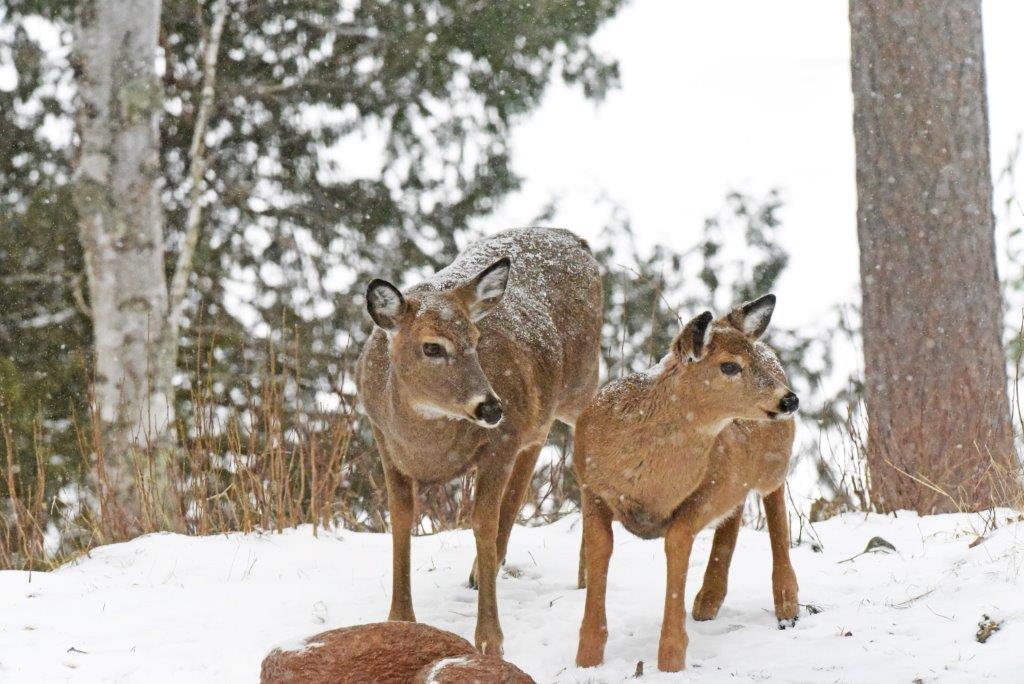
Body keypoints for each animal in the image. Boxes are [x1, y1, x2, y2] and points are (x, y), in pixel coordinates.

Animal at [355, 227, 603, 656]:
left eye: (474, 337)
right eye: (431, 346)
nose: (490, 407)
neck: (428, 447)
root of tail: (573, 238)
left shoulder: (499, 443)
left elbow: (481, 523)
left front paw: (490, 639)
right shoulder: (384, 440)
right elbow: (401, 518)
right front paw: (400, 618)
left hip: (581, 383)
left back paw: (583, 573)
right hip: (538, 410)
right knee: (534, 449)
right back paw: (481, 570)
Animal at [572, 294, 800, 672]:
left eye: (751, 358)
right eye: (729, 366)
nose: (790, 398)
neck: (647, 484)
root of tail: (770, 346)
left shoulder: (706, 493)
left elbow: (678, 541)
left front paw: (671, 658)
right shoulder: (590, 486)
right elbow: (600, 547)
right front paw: (587, 657)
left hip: (774, 461)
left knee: (774, 504)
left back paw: (787, 604)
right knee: (736, 511)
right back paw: (707, 601)